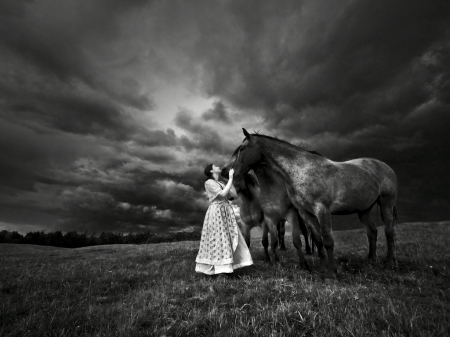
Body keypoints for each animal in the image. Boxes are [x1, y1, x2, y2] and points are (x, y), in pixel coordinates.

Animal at [232, 127, 398, 276]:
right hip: (364, 210)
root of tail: (384, 166)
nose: (233, 174)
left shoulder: (322, 209)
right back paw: (371, 259)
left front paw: (332, 273)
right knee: (372, 232)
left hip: (386, 203)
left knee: (389, 231)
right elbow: (318, 239)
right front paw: (324, 269)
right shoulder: (305, 212)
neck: (300, 170)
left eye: (243, 149)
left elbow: (328, 240)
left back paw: (390, 262)